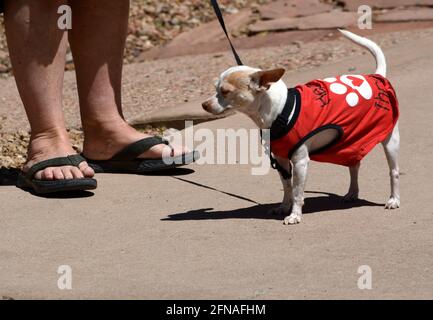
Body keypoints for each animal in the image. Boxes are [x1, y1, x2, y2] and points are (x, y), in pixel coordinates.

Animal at [201, 30, 400, 225]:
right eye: (215, 89)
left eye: (225, 91)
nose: (204, 105)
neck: (280, 111)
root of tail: (377, 77)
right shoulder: (281, 160)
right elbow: (287, 188)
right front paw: (283, 207)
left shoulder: (300, 162)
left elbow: (297, 192)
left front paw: (295, 215)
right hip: (349, 142)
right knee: (354, 166)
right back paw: (352, 193)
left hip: (390, 141)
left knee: (394, 172)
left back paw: (393, 200)